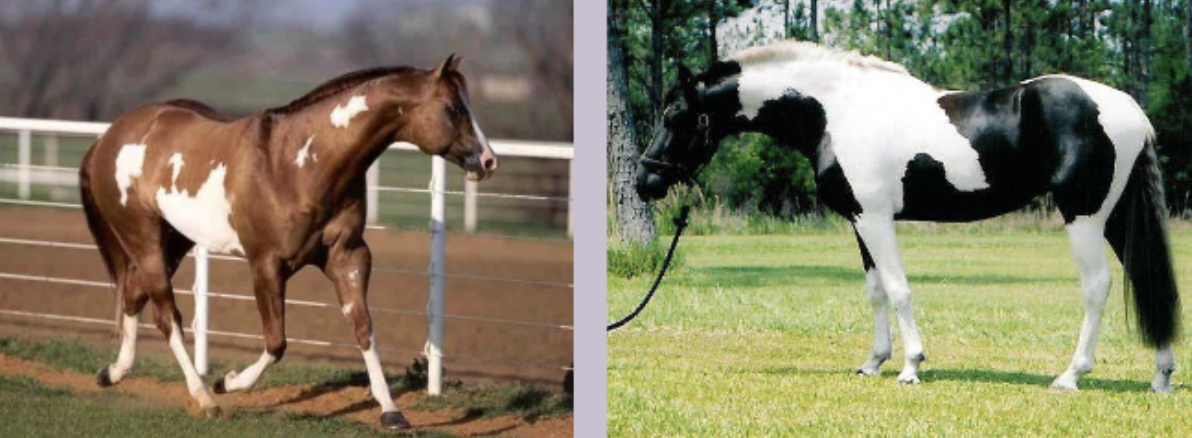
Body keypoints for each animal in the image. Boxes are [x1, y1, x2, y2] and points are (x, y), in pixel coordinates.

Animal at [78, 54, 498, 429]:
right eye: (452, 108)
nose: (489, 161)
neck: (300, 163)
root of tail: (109, 138)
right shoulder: (266, 264)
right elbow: (276, 342)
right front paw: (228, 381)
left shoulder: (348, 257)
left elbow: (363, 329)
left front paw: (391, 412)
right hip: (144, 239)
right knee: (167, 317)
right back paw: (205, 398)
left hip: (174, 242)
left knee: (134, 296)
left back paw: (112, 373)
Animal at [636, 41, 1180, 392]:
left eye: (674, 116)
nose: (646, 181)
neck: (837, 110)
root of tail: (1129, 108)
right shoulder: (859, 220)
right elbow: (876, 291)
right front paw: (873, 363)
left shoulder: (876, 218)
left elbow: (899, 290)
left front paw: (911, 367)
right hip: (1115, 216)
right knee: (1144, 277)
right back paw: (1161, 375)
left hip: (1084, 217)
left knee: (1097, 286)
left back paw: (1070, 375)